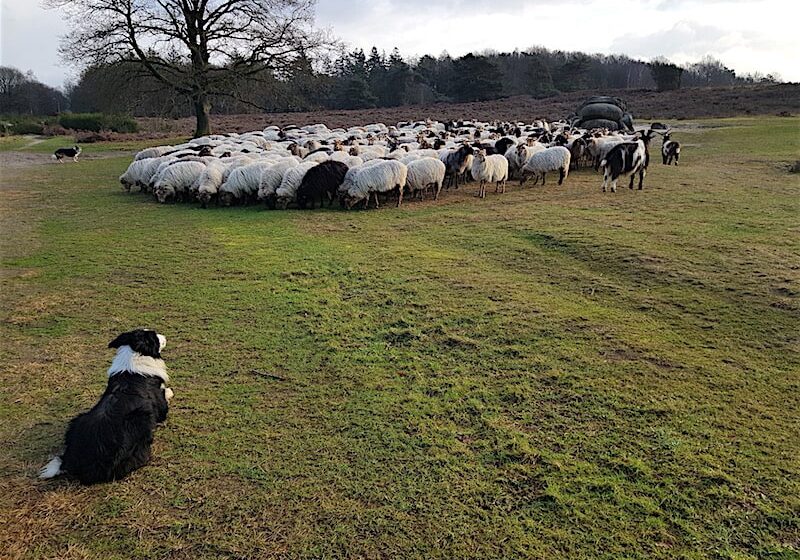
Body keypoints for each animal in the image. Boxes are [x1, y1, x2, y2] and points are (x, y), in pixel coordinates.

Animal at [39, 330, 174, 484]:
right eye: (154, 337)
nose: (165, 337)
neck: (135, 354)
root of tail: (69, 462)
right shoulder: (160, 406)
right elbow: (165, 396)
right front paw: (170, 391)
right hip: (141, 423)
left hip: (77, 419)